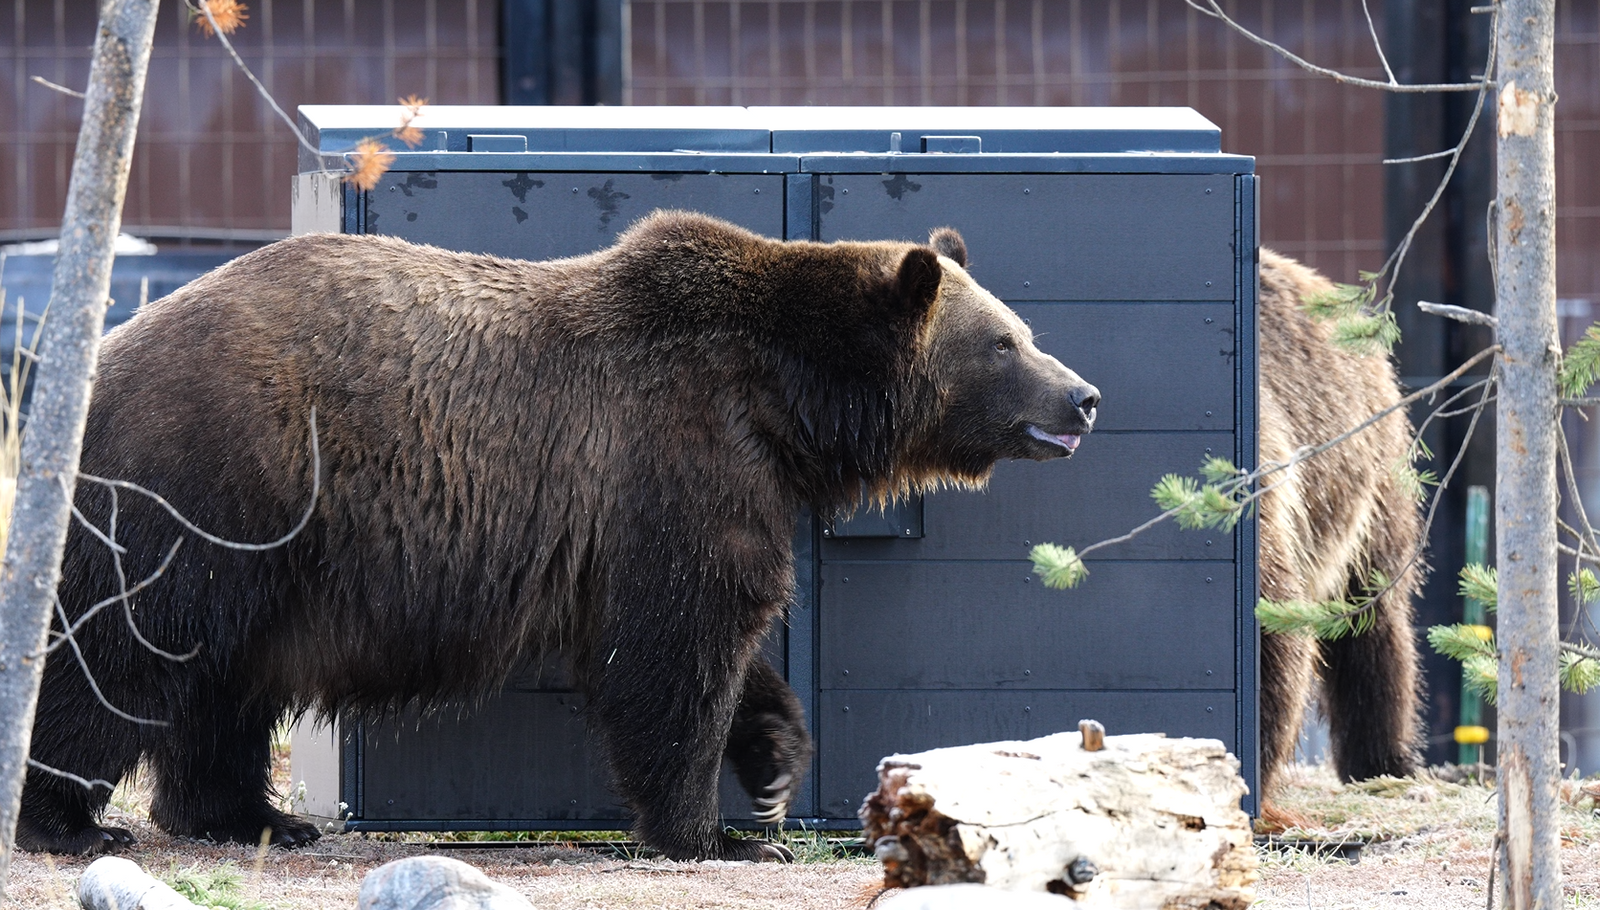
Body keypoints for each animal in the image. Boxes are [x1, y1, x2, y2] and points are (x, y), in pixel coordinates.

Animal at [18, 211, 1100, 862]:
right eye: (1006, 341)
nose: (1083, 396)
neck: (785, 400)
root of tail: (95, 359)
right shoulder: (668, 456)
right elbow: (675, 644)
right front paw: (711, 830)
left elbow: (717, 639)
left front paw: (774, 763)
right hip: (212, 485)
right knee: (115, 653)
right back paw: (67, 821)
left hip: (257, 549)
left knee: (223, 683)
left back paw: (257, 816)